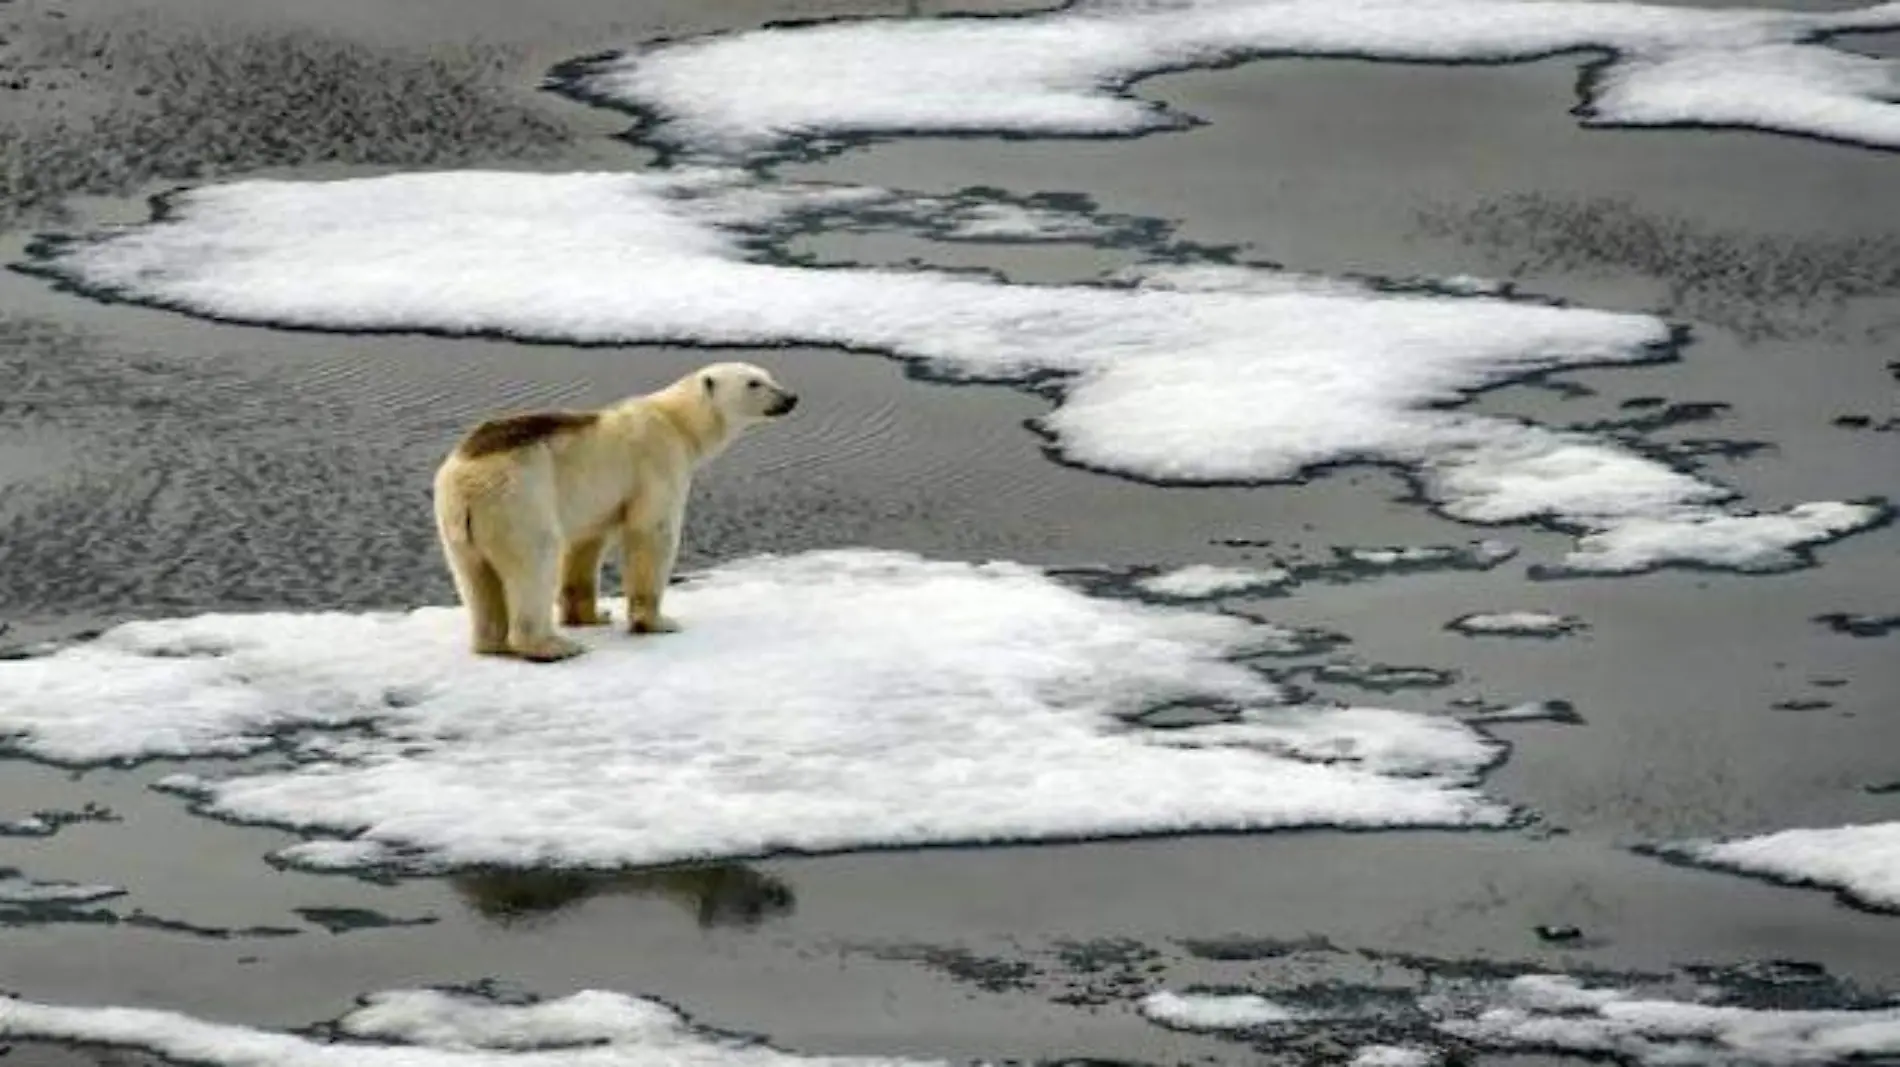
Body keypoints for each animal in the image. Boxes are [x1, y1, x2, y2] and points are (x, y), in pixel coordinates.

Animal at [435, 362, 798, 656]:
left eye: (768, 375)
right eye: (754, 383)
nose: (791, 397)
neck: (676, 422)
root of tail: (466, 479)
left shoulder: (595, 500)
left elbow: (586, 546)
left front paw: (594, 616)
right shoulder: (657, 464)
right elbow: (652, 533)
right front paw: (658, 621)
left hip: (457, 522)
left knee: (474, 576)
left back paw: (490, 642)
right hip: (520, 499)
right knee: (535, 560)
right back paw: (553, 646)